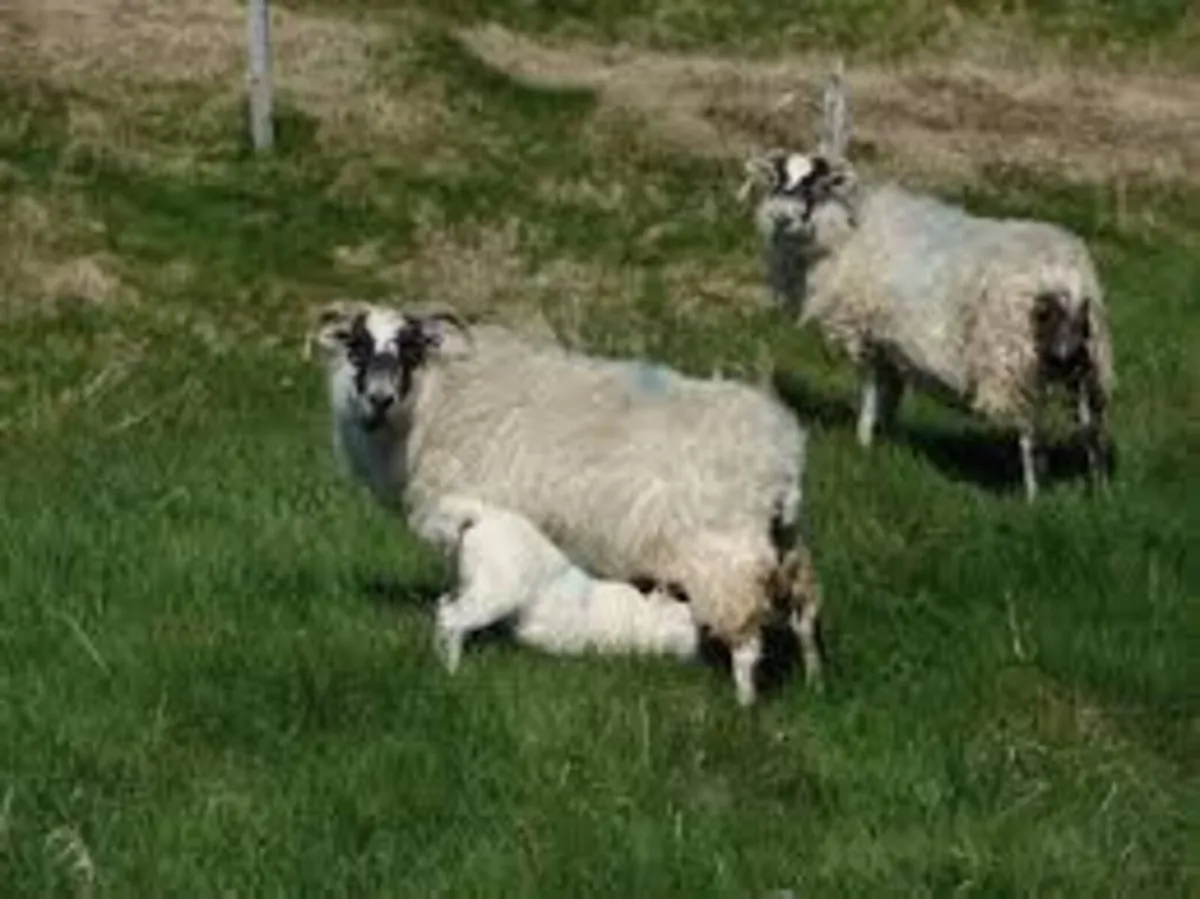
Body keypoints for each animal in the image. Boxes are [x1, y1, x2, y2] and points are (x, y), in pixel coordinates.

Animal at [416, 493, 705, 670]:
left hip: (472, 588)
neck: (644, 611)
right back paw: (452, 667)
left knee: (444, 606)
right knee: (451, 617)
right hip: (495, 594)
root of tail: (480, 515)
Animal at [740, 107, 1114, 501]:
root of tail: (1068, 276)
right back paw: (1099, 493)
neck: (846, 231)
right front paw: (882, 441)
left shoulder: (866, 332)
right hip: (1085, 360)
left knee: (1029, 432)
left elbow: (870, 392)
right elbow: (890, 395)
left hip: (1013, 360)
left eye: (816, 183)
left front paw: (862, 441)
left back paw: (1032, 497)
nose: (782, 216)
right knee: (1091, 430)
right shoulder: (890, 343)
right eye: (777, 179)